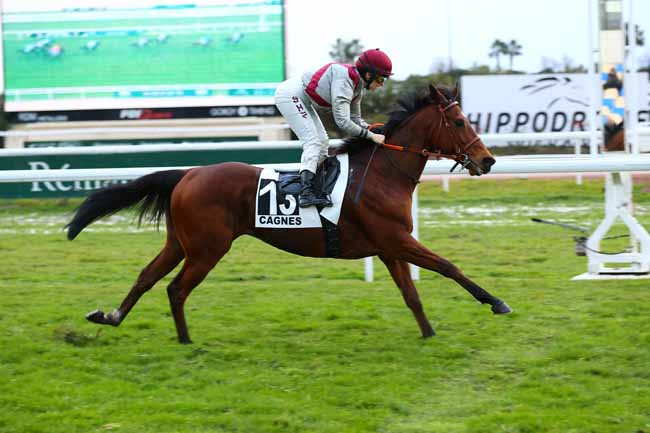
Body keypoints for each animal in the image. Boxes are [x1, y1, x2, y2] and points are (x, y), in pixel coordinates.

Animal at [66, 83, 512, 344]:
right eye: (459, 121)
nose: (487, 160)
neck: (383, 171)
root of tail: (187, 173)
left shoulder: (389, 247)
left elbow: (412, 294)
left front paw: (429, 333)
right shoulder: (396, 239)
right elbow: (449, 266)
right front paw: (496, 301)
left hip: (180, 242)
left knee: (146, 277)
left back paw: (110, 317)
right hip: (208, 248)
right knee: (175, 289)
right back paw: (186, 340)